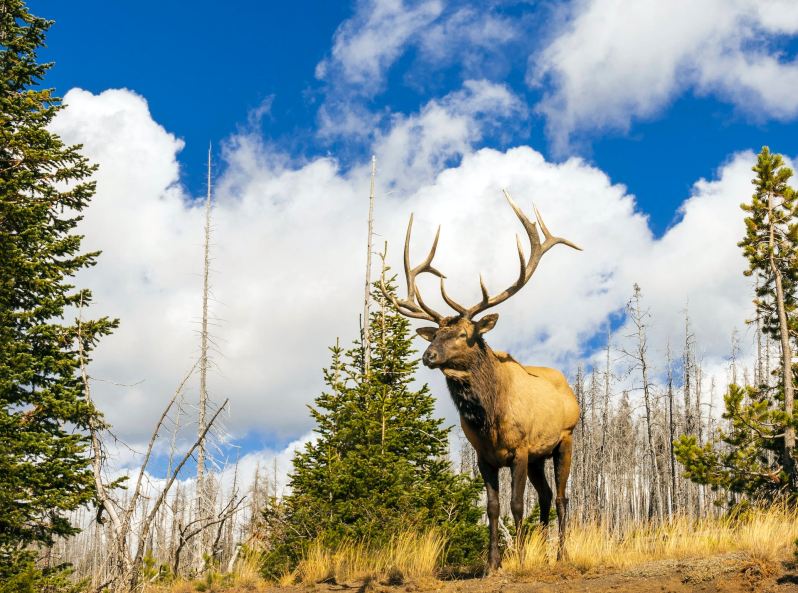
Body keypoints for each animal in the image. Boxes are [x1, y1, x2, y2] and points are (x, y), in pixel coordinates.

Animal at [382, 191, 580, 568]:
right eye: (435, 334)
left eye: (463, 334)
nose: (428, 356)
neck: (490, 417)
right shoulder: (484, 456)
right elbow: (492, 508)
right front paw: (493, 563)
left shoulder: (520, 449)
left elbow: (516, 505)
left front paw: (518, 559)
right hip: (539, 456)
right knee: (546, 496)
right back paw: (545, 551)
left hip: (564, 439)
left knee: (562, 497)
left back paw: (561, 555)